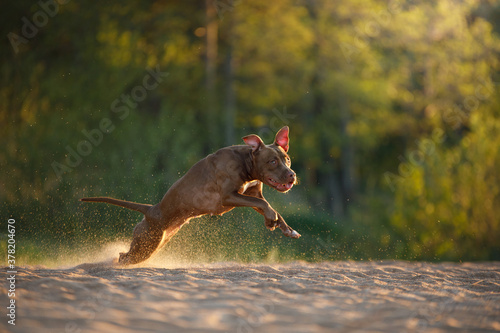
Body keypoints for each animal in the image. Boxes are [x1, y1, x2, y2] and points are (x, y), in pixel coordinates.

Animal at [81, 126, 298, 264]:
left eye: (287, 159)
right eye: (272, 161)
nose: (292, 174)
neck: (247, 162)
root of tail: (150, 210)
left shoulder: (253, 194)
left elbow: (268, 206)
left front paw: (285, 228)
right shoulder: (229, 196)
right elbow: (265, 206)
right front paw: (272, 220)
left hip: (157, 242)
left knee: (124, 255)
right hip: (147, 244)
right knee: (123, 257)